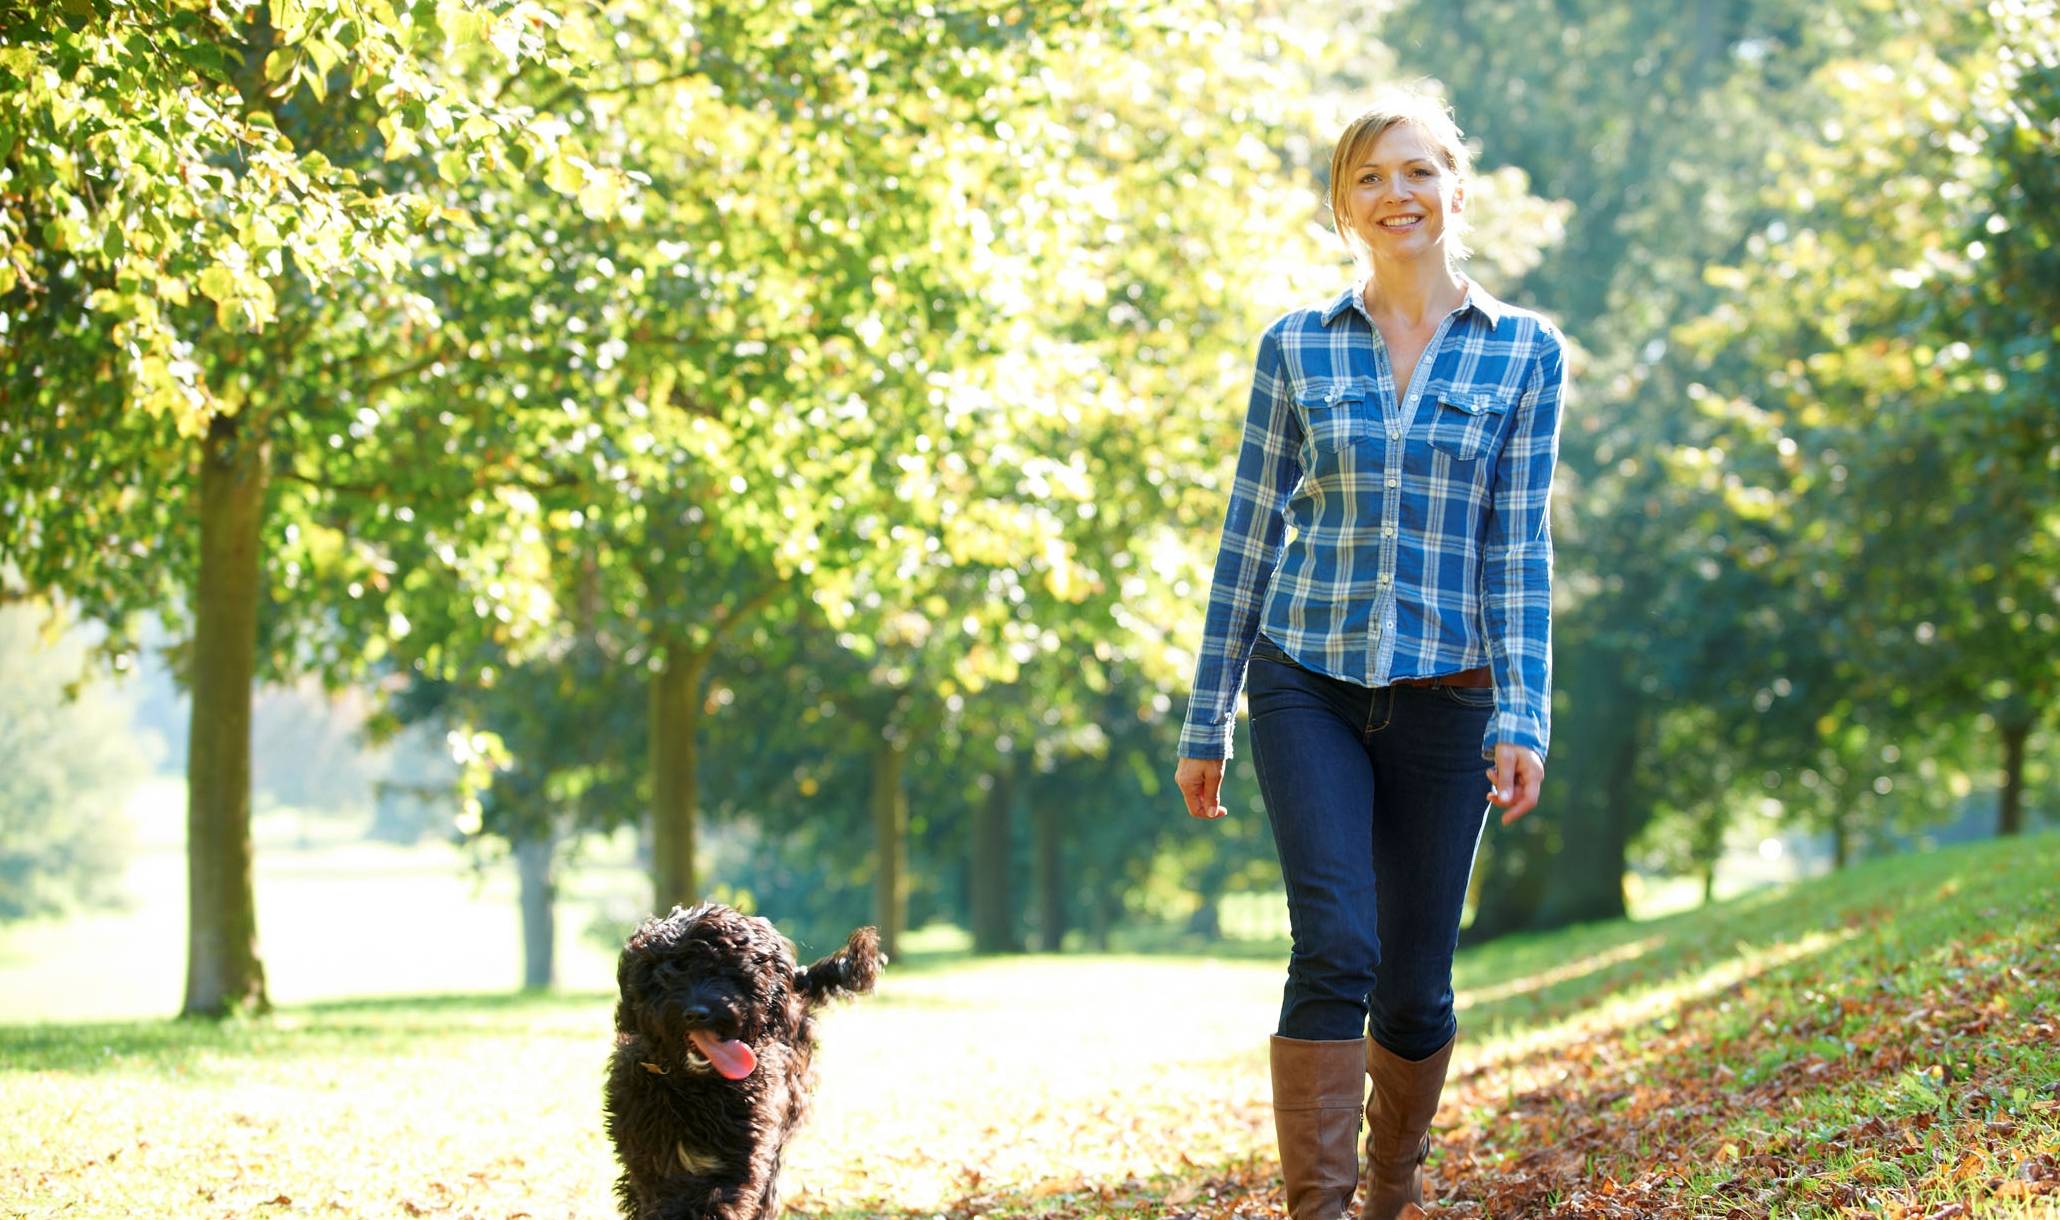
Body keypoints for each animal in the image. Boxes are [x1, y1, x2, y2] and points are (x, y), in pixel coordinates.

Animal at [601, 902, 877, 1211]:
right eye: (668, 974)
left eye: (725, 972)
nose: (697, 1012)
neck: (695, 1088)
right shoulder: (651, 1151)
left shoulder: (744, 1149)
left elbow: (721, 1194)